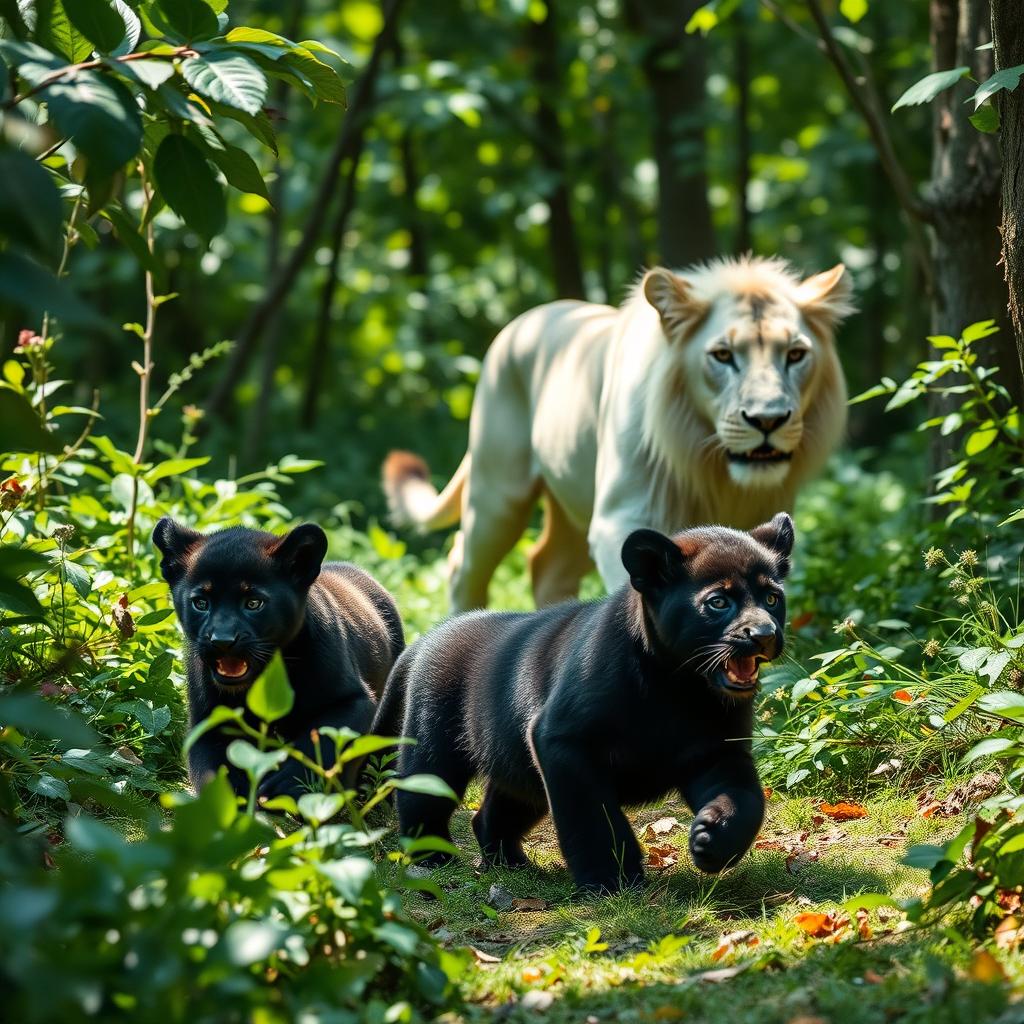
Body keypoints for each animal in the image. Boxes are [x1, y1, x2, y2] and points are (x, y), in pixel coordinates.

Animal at [384, 256, 852, 612]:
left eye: (796, 354)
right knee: (462, 562)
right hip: (498, 492)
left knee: (545, 565)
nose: (767, 419)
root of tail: (525, 319)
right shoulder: (622, 516)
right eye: (722, 355)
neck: (708, 465)